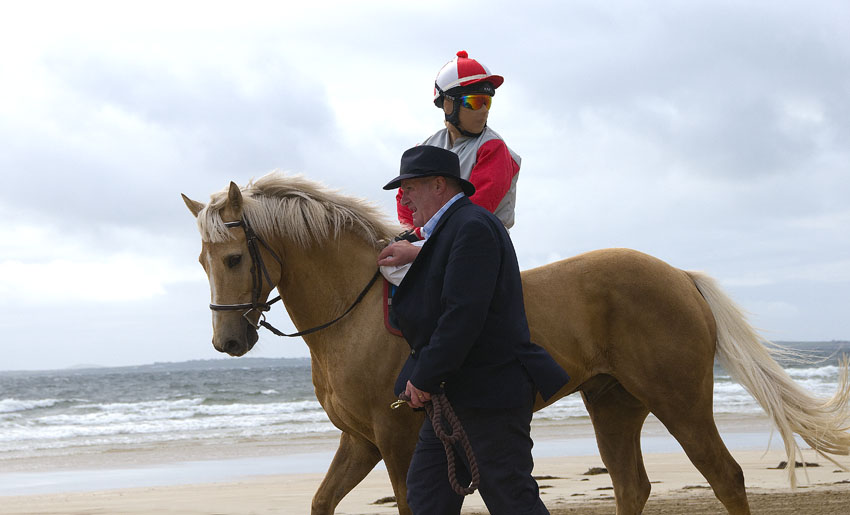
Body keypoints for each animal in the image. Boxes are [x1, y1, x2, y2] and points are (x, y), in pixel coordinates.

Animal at [182, 174, 844, 515]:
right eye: (203, 261)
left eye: (235, 258)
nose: (227, 340)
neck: (359, 311)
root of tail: (678, 276)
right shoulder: (361, 441)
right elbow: (321, 502)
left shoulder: (397, 440)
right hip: (614, 403)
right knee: (632, 485)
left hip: (679, 400)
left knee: (725, 477)